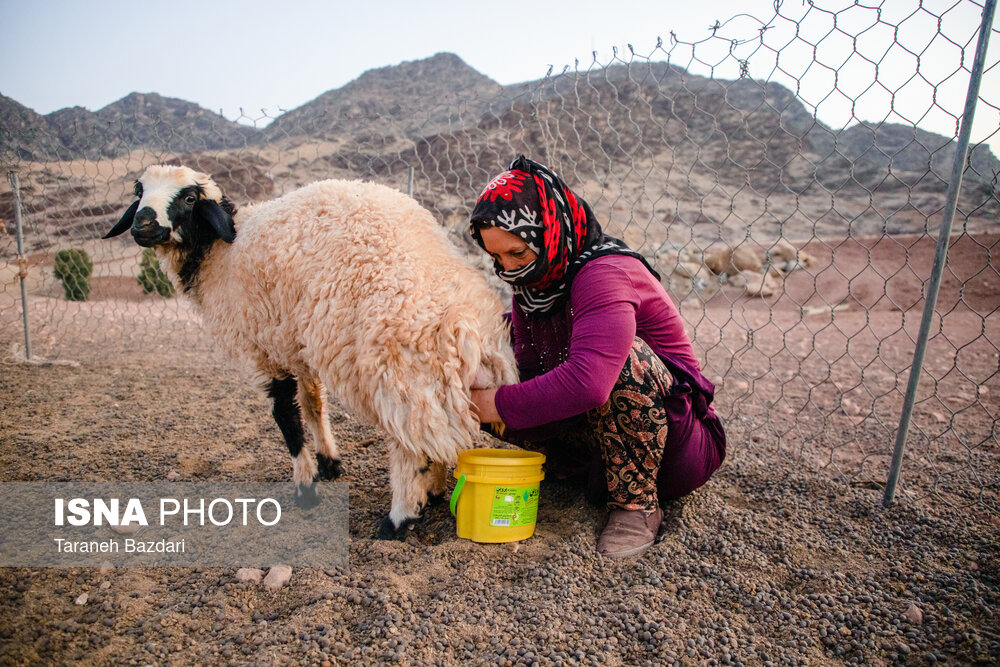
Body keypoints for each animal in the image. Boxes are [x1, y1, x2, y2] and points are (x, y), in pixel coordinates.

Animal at [103, 164, 516, 540]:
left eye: (189, 198)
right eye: (139, 191)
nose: (142, 224)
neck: (217, 256)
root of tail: (463, 321)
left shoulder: (262, 352)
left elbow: (286, 416)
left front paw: (305, 486)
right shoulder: (295, 346)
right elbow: (314, 403)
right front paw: (329, 462)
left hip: (397, 372)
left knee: (409, 446)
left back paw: (399, 518)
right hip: (436, 382)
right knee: (435, 437)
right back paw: (432, 492)